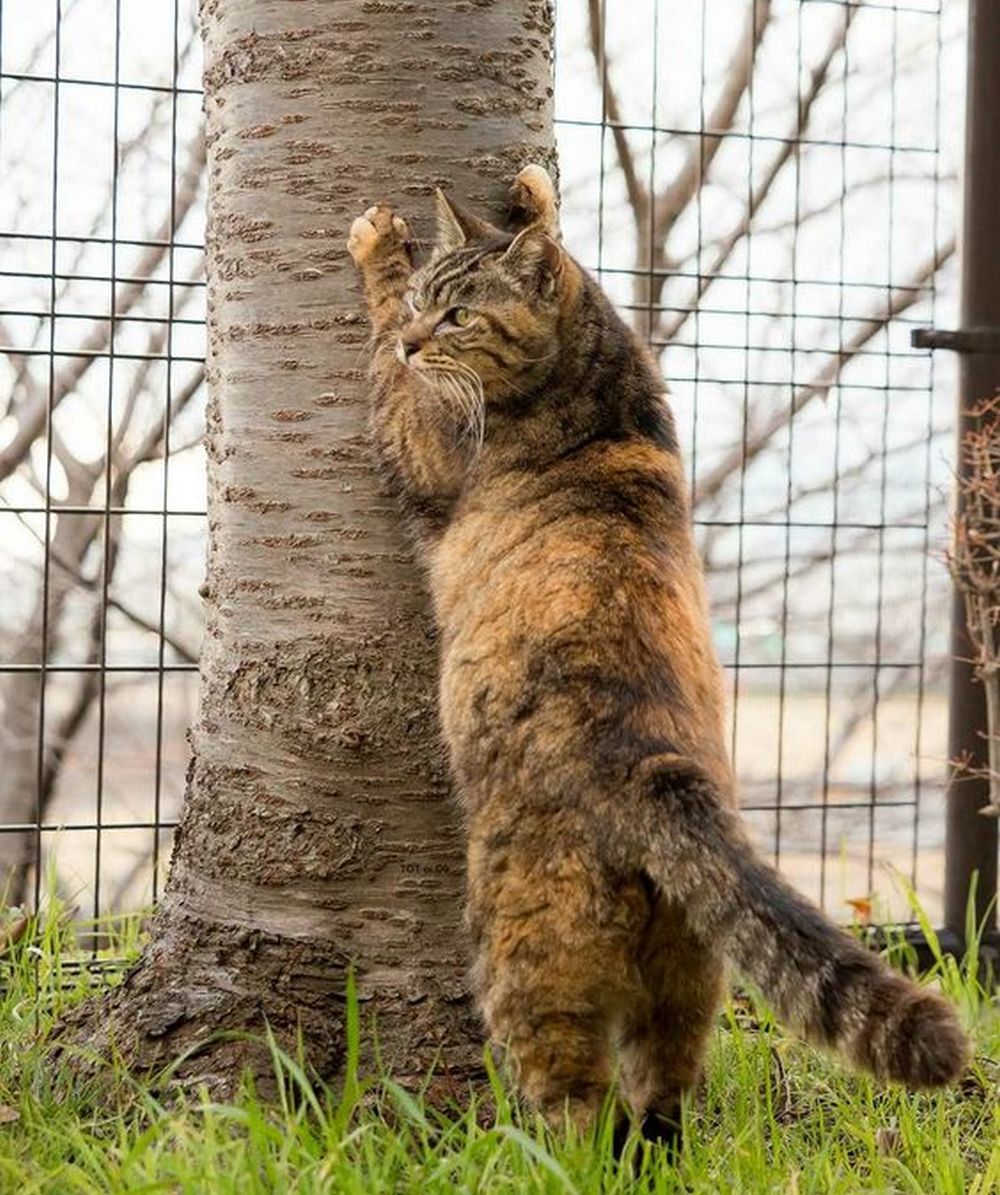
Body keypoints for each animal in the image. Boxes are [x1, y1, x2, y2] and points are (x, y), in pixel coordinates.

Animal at [346, 166, 965, 1147]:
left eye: (454, 315)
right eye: (424, 302)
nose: (414, 339)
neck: (600, 386)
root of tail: (660, 774)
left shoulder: (424, 442)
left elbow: (383, 380)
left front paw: (374, 249)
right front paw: (534, 195)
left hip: (531, 966)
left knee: (578, 1104)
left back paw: (536, 1153)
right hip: (686, 980)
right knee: (664, 1098)